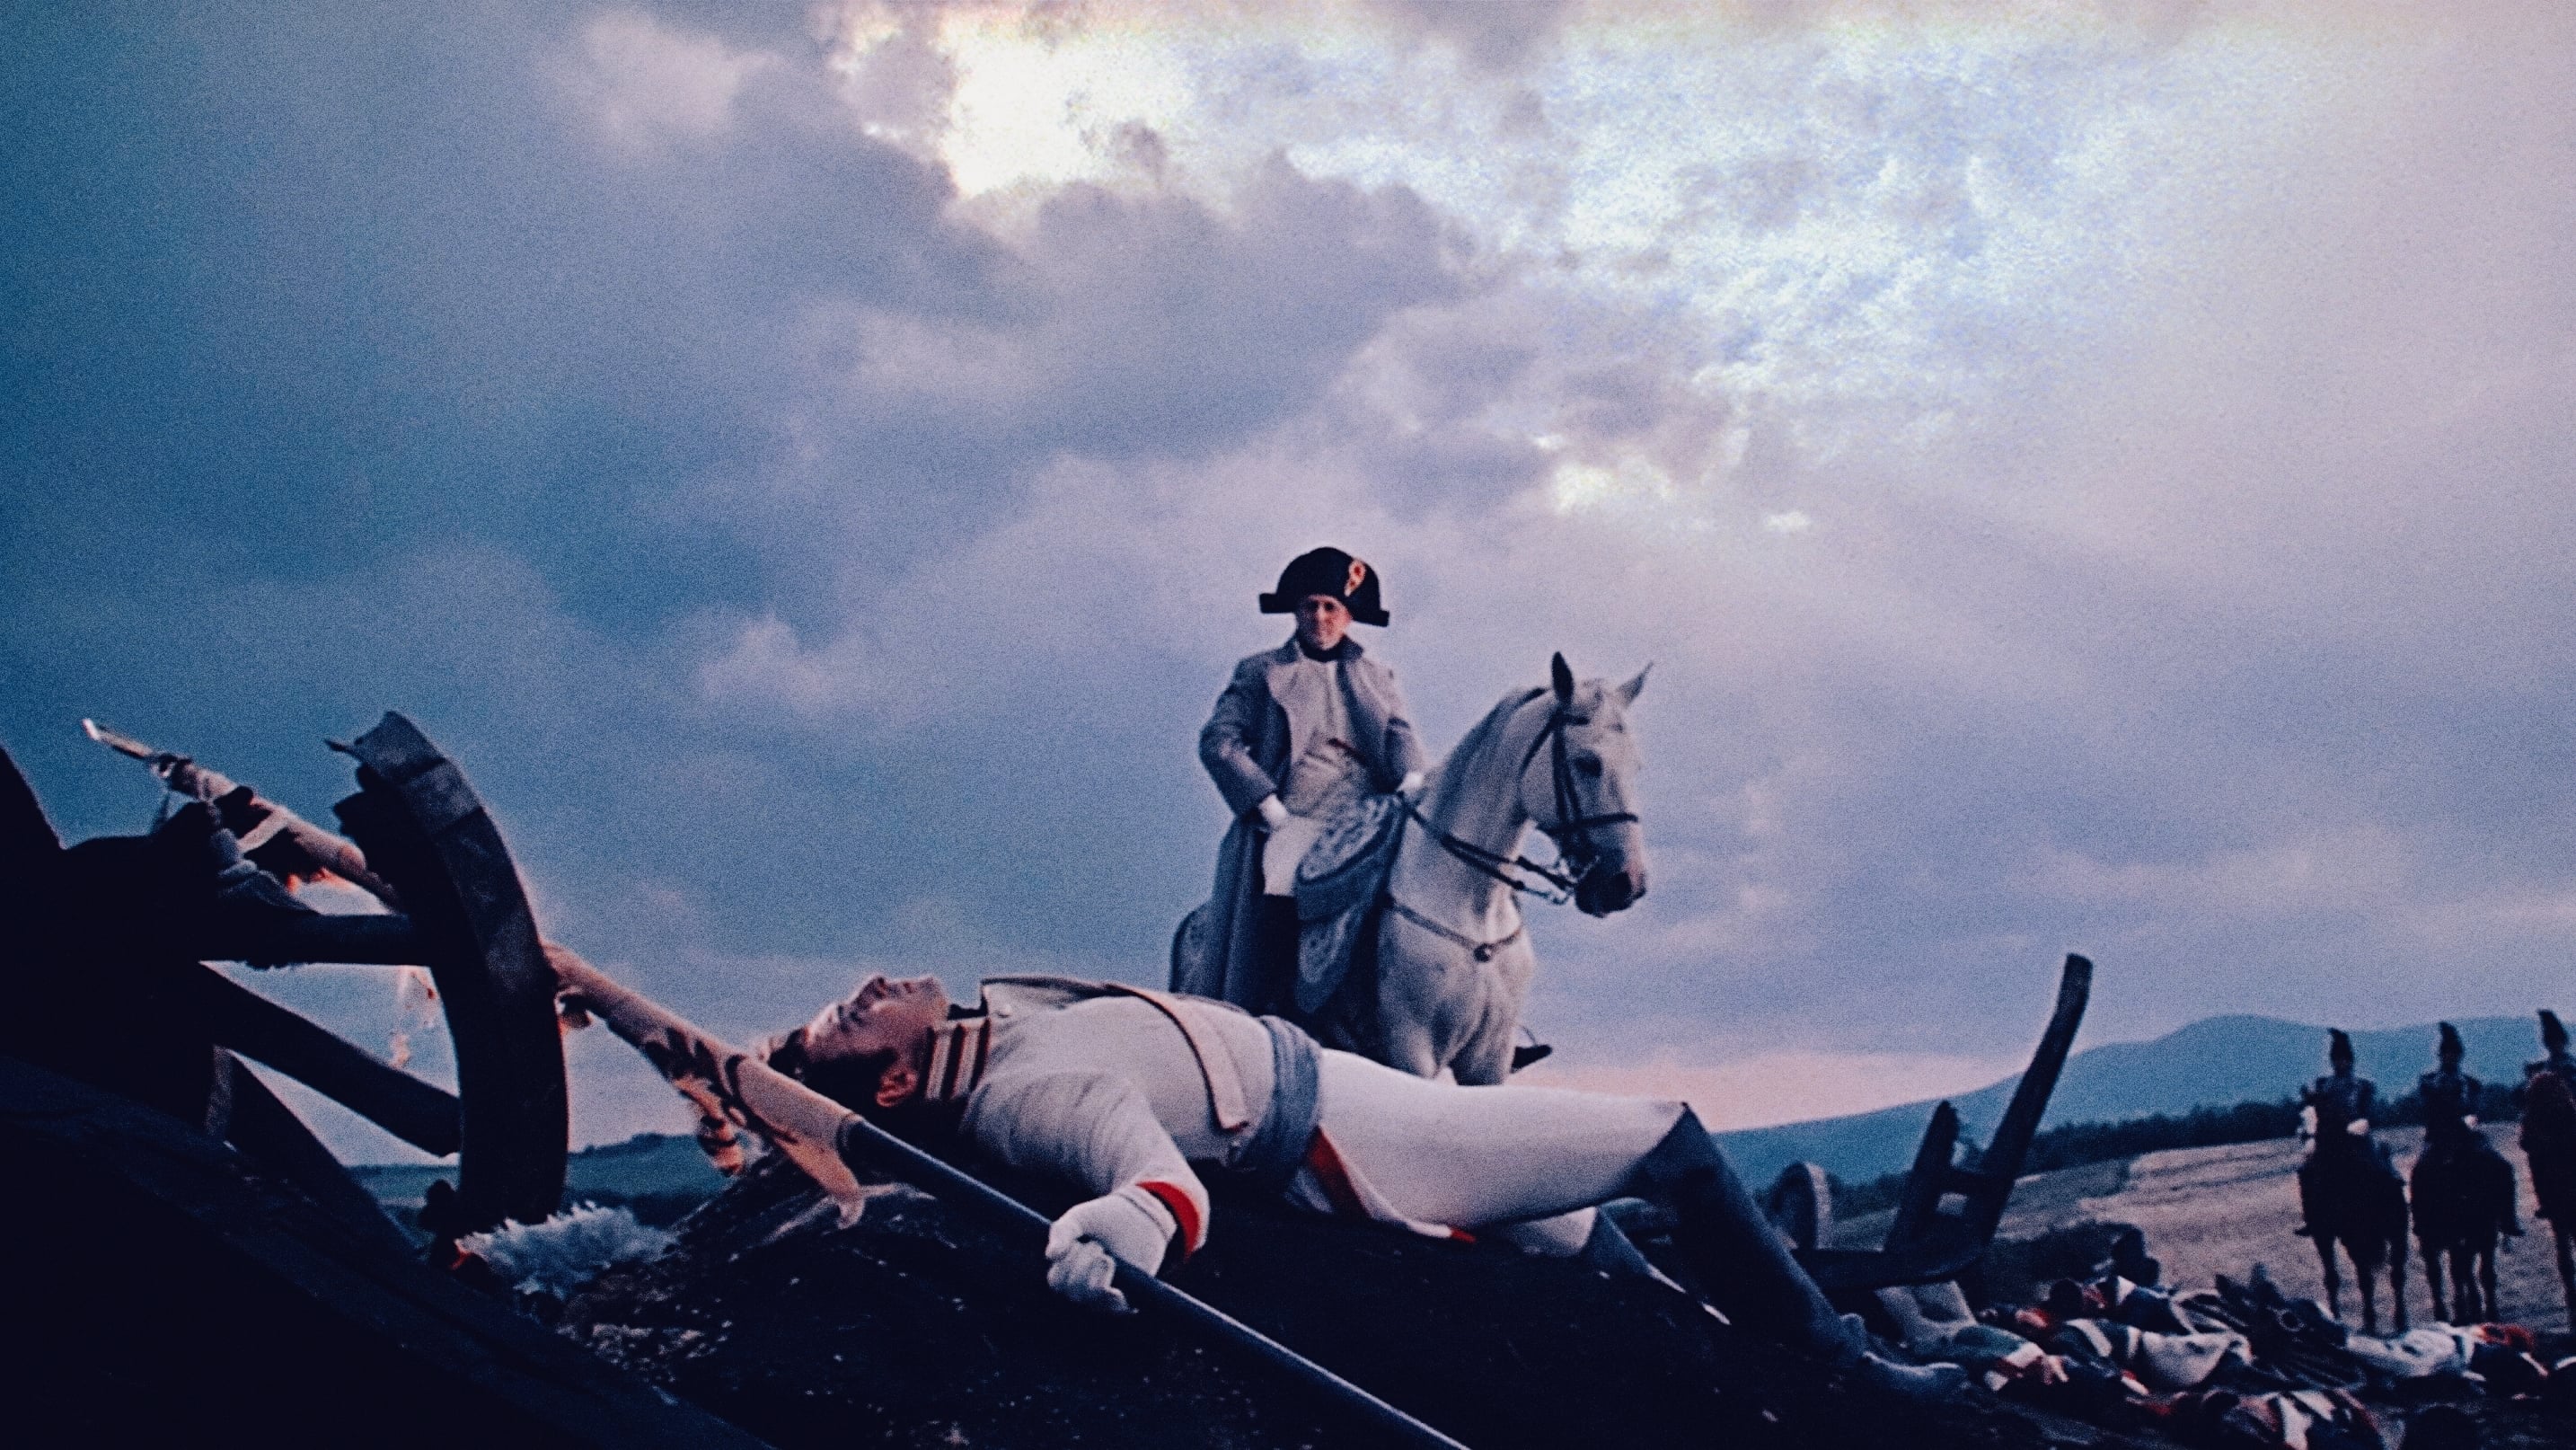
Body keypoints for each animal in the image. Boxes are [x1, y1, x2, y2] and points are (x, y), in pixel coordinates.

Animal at [1303, 652, 1649, 1084]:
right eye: (1587, 763)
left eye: (1636, 767)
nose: (1628, 883)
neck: (1474, 907)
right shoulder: (1412, 1052)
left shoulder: (1490, 1060)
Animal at [2409, 1130, 2518, 1323]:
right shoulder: (2475, 1236)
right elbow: (2464, 1270)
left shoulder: (2480, 1236)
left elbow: (2471, 1270)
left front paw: (2477, 1309)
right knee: (2443, 1272)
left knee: (2454, 1269)